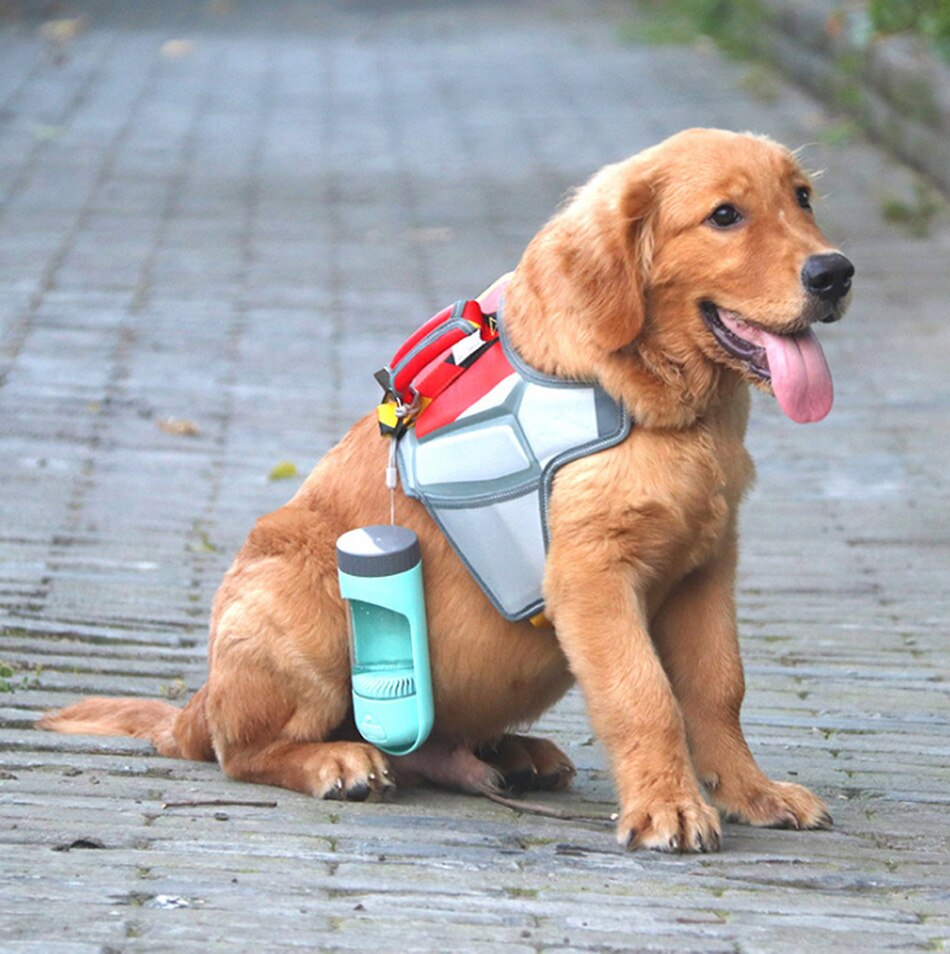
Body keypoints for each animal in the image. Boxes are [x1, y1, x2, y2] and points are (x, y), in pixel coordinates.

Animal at [41, 126, 856, 848]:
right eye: (724, 216)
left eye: (803, 198)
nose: (836, 273)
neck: (671, 408)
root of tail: (196, 704)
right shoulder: (593, 575)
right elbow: (643, 694)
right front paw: (670, 808)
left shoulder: (706, 567)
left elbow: (720, 690)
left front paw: (753, 793)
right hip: (305, 598)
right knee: (242, 752)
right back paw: (339, 761)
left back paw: (510, 758)